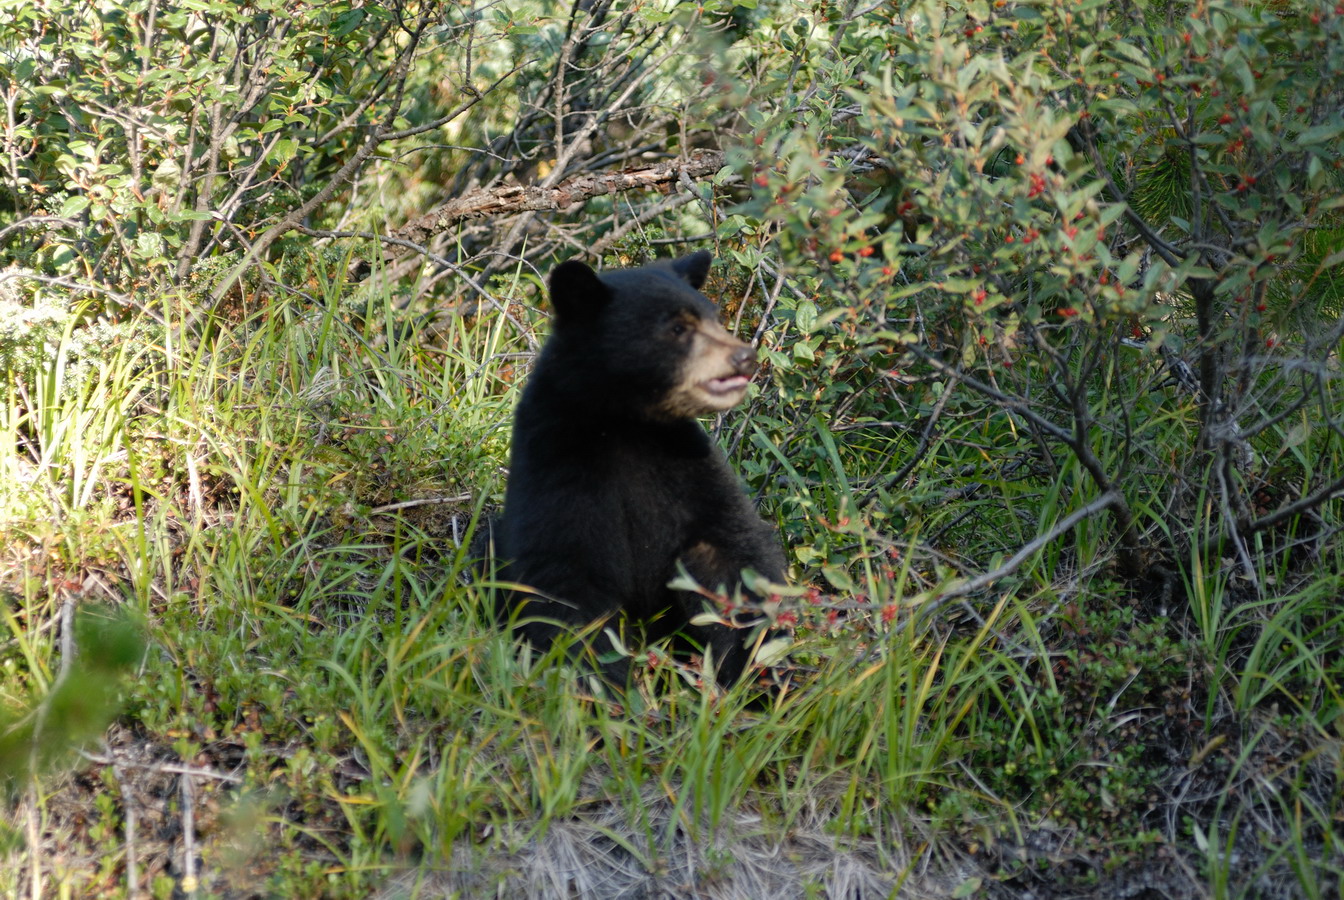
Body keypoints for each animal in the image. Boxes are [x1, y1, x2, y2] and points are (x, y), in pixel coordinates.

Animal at [494, 253, 784, 693]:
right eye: (678, 328)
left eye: (714, 317)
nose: (745, 357)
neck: (626, 423)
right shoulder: (557, 463)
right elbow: (568, 583)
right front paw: (603, 691)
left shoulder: (686, 462)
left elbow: (731, 559)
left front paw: (757, 679)